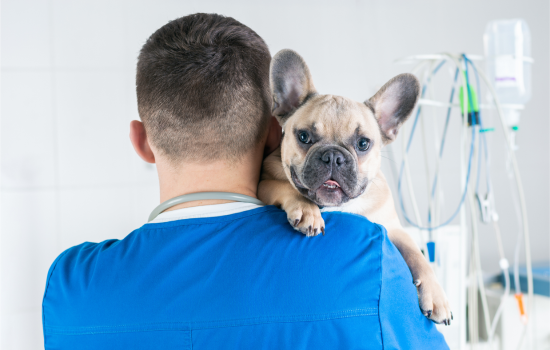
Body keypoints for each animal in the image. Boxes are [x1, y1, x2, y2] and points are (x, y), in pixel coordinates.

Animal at [258, 49, 452, 326]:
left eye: (363, 144)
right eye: (304, 137)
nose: (333, 156)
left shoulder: (394, 229)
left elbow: (419, 256)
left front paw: (437, 297)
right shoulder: (264, 184)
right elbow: (287, 189)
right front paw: (307, 212)